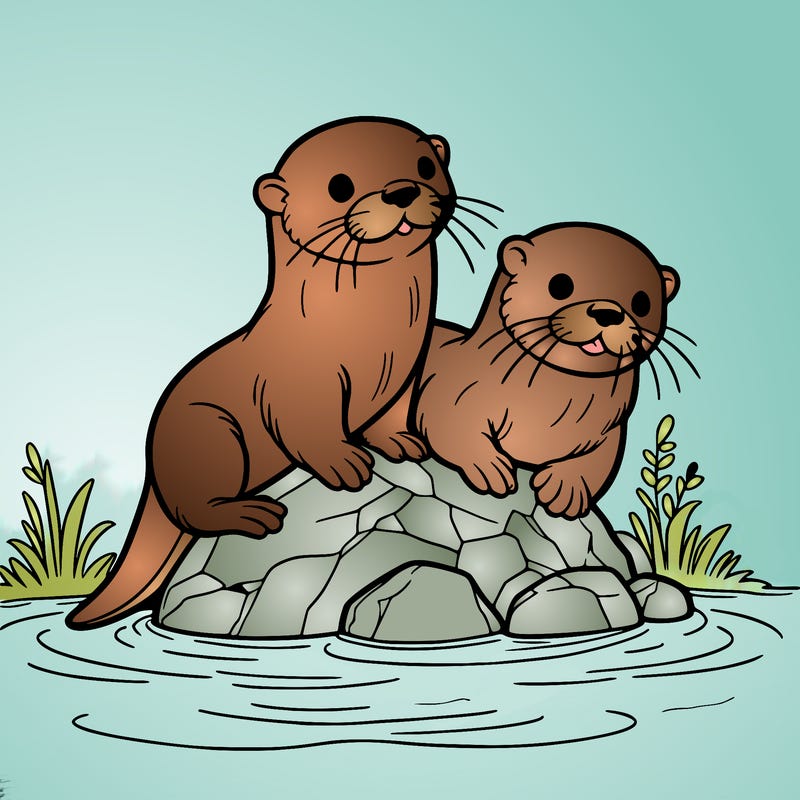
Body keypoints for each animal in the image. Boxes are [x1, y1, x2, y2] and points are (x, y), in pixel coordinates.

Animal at [68, 117, 456, 629]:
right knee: (193, 511)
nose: (401, 190)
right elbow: (310, 431)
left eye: (425, 165)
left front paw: (401, 443)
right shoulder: (299, 386)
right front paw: (345, 463)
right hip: (210, 431)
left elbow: (390, 415)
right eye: (340, 186)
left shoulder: (406, 371)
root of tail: (154, 466)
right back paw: (251, 515)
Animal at [414, 222, 680, 519]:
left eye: (642, 302)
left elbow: (597, 461)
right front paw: (491, 467)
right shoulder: (453, 392)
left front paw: (566, 488)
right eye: (560, 284)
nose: (608, 312)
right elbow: (450, 427)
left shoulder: (611, 429)